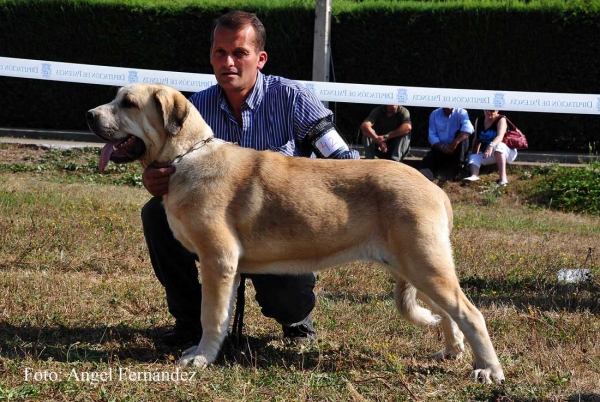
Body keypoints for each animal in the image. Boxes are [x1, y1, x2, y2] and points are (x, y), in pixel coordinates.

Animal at [85, 84, 506, 384]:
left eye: (128, 103)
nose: (89, 114)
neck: (186, 156)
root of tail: (435, 189)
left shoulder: (217, 261)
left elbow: (212, 316)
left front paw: (201, 357)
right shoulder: (228, 269)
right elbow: (223, 313)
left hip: (424, 264)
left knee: (471, 314)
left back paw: (488, 370)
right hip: (415, 267)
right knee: (449, 314)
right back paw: (451, 352)